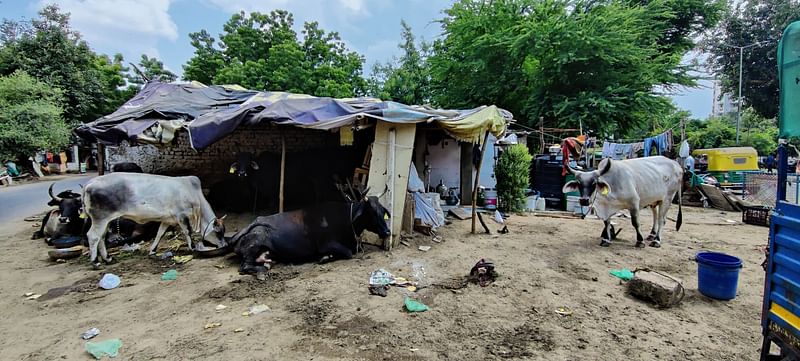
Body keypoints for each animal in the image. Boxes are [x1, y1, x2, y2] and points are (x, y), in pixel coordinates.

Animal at [82, 172, 225, 268]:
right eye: (218, 233)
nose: (223, 245)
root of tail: (89, 183)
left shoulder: (168, 220)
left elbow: (159, 234)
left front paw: (153, 250)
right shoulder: (182, 216)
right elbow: (188, 232)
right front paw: (193, 248)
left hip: (106, 221)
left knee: (101, 237)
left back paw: (108, 259)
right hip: (100, 218)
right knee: (93, 236)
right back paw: (95, 262)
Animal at [228, 186, 390, 276]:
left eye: (382, 211)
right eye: (371, 212)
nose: (387, 232)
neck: (347, 219)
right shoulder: (327, 244)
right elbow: (348, 253)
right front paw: (325, 258)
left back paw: (267, 264)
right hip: (254, 243)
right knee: (244, 267)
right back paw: (262, 271)